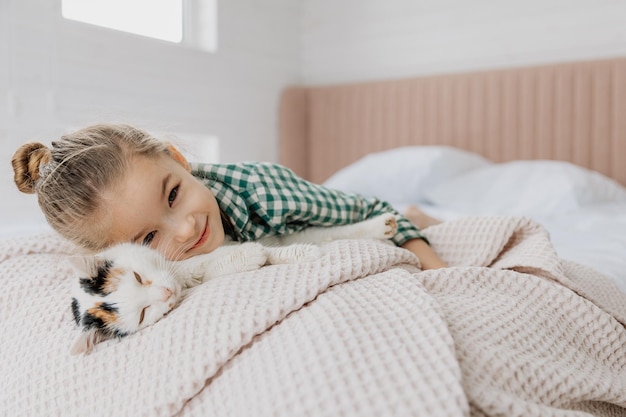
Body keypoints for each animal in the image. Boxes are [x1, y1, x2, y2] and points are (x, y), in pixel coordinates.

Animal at [70, 213, 398, 352]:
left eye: (138, 277)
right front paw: (261, 255)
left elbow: (314, 235)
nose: (166, 292)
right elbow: (253, 256)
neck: (178, 275)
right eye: (142, 314)